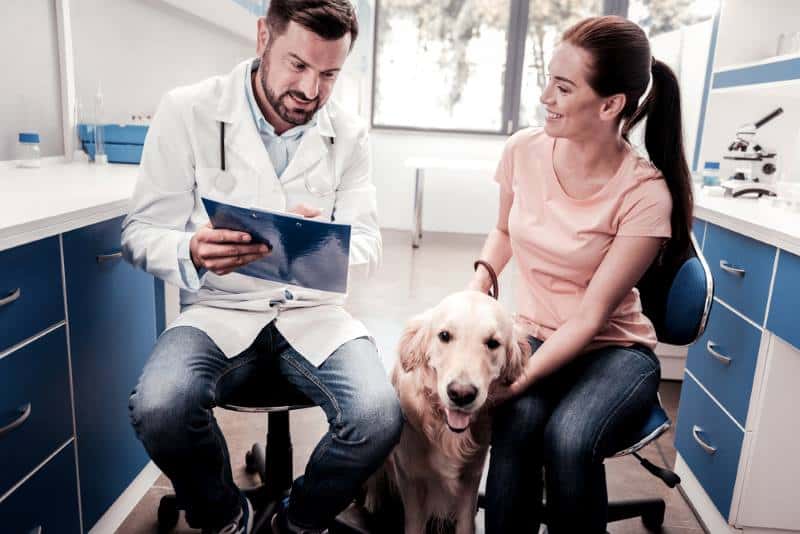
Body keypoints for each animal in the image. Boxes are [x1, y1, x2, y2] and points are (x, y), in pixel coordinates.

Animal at [368, 294, 532, 534]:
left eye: (493, 343)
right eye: (444, 336)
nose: (461, 394)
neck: (446, 432)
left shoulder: (471, 476)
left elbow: (465, 522)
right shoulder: (410, 476)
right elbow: (414, 523)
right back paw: (373, 498)